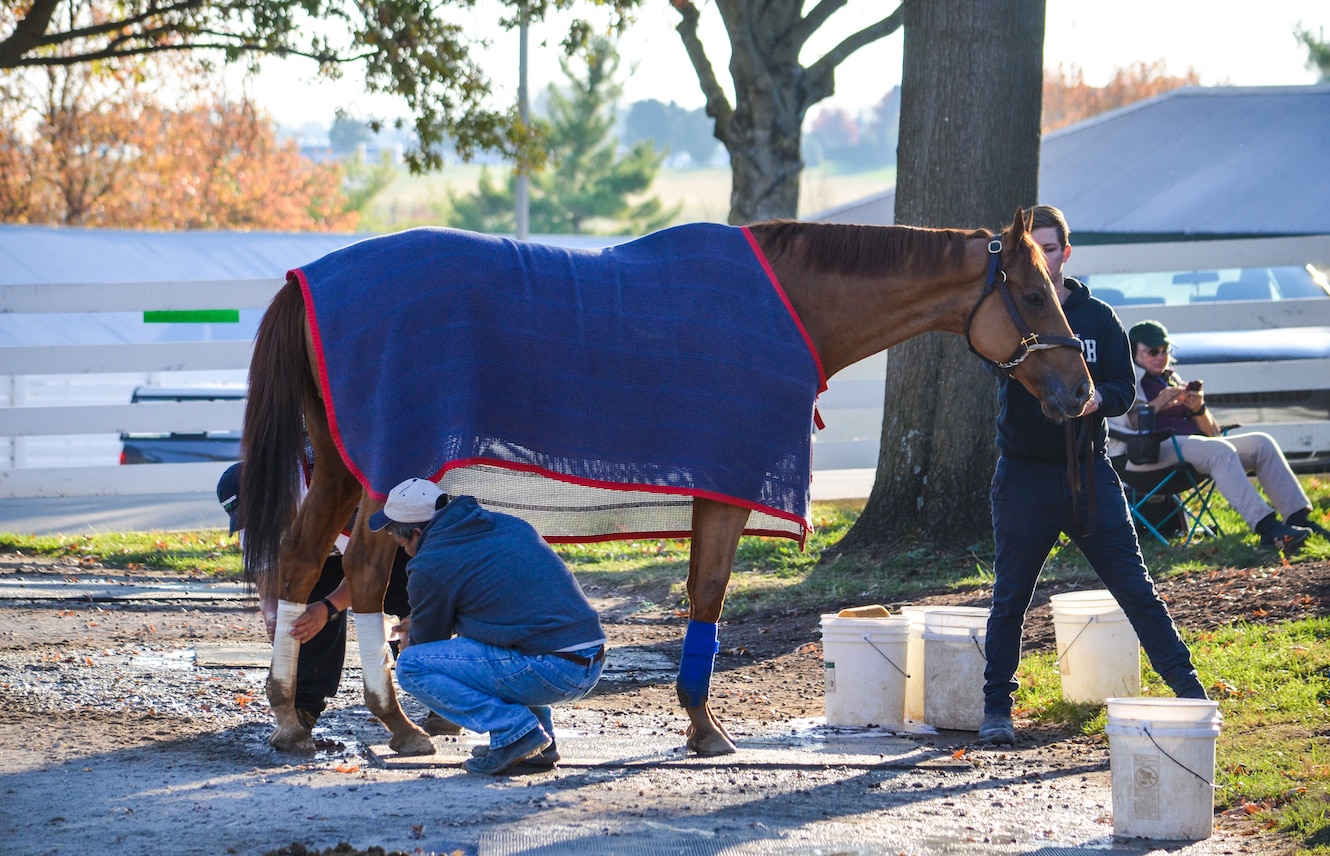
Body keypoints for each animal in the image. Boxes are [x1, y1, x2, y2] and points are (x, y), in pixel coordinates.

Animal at [239, 208, 1090, 754]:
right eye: (1036, 293)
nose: (1081, 392)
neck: (789, 307)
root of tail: (306, 279)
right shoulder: (726, 489)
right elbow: (708, 594)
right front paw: (705, 726)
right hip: (385, 472)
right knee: (367, 572)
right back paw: (397, 724)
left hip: (340, 467)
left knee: (302, 560)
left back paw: (290, 720)